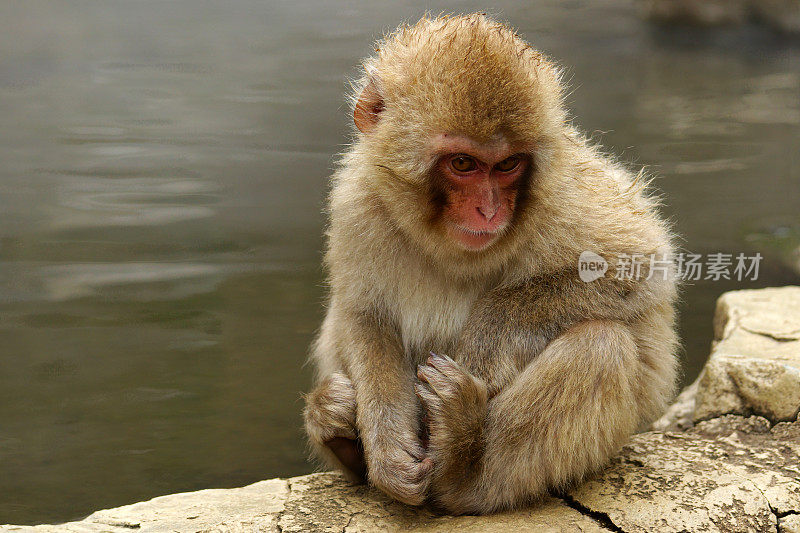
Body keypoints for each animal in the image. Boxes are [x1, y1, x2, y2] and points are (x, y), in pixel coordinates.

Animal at [304, 11, 680, 512]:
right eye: (463, 163)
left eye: (507, 165)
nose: (489, 211)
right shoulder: (358, 205)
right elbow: (364, 315)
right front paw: (387, 450)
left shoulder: (564, 195)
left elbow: (641, 267)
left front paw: (488, 337)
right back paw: (339, 433)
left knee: (600, 345)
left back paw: (463, 467)